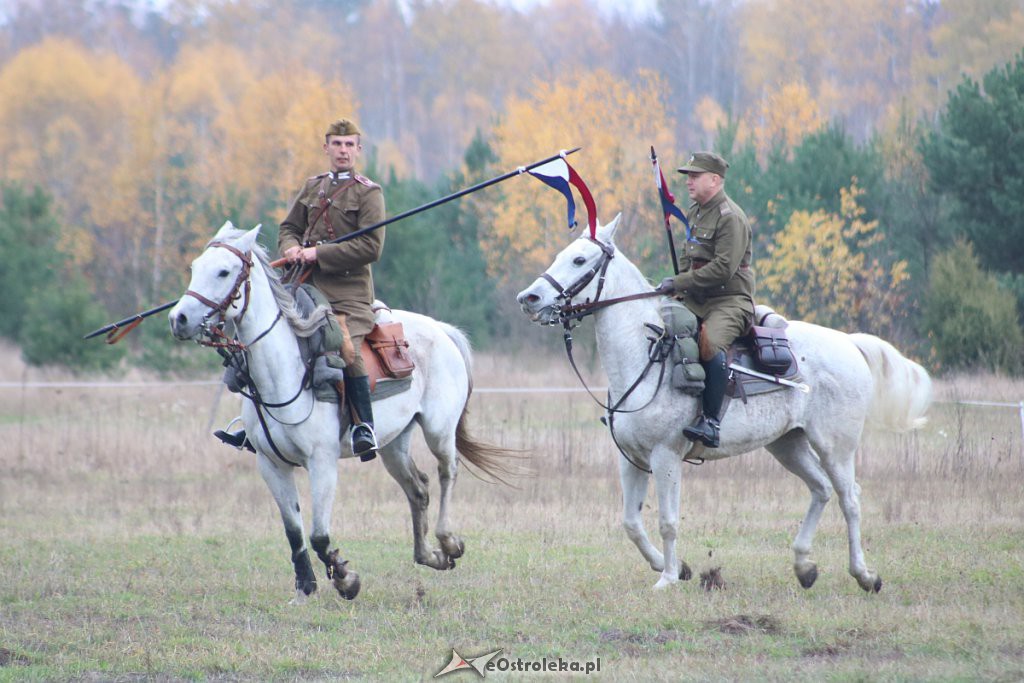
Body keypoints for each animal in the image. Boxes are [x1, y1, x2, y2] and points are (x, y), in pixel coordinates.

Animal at [171, 222, 516, 602]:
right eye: (195, 267)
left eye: (224, 271)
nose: (179, 319)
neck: (285, 370)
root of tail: (441, 330)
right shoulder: (271, 465)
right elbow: (294, 532)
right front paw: (305, 589)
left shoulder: (322, 463)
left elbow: (319, 534)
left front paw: (346, 580)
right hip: (394, 443)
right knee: (418, 489)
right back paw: (430, 555)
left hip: (439, 431)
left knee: (446, 473)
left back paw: (448, 542)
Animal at [516, 215, 933, 593]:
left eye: (580, 260)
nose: (529, 298)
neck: (646, 357)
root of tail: (849, 342)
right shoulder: (630, 458)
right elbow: (631, 523)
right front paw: (675, 568)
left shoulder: (666, 457)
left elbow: (668, 521)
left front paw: (667, 579)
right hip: (787, 444)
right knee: (820, 490)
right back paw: (804, 567)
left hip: (836, 447)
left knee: (850, 499)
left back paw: (865, 575)